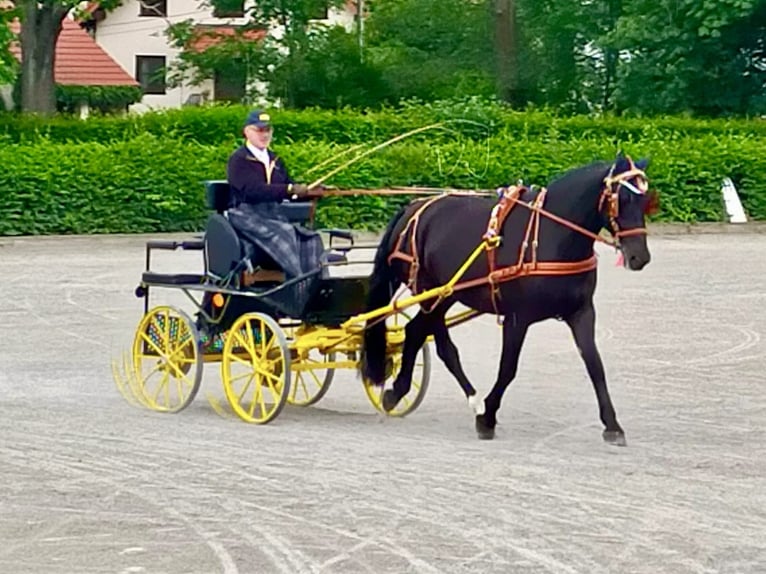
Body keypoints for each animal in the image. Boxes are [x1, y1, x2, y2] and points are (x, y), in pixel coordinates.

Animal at [364, 156, 656, 446]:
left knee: (415, 332)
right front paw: (488, 417)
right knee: (437, 341)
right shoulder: (518, 317)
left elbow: (595, 365)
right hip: (431, 292)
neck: (551, 234)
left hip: (446, 294)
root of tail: (413, 208)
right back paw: (459, 399)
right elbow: (508, 368)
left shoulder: (581, 312)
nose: (639, 257)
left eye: (645, 200)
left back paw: (405, 392)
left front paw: (612, 425)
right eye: (622, 199)